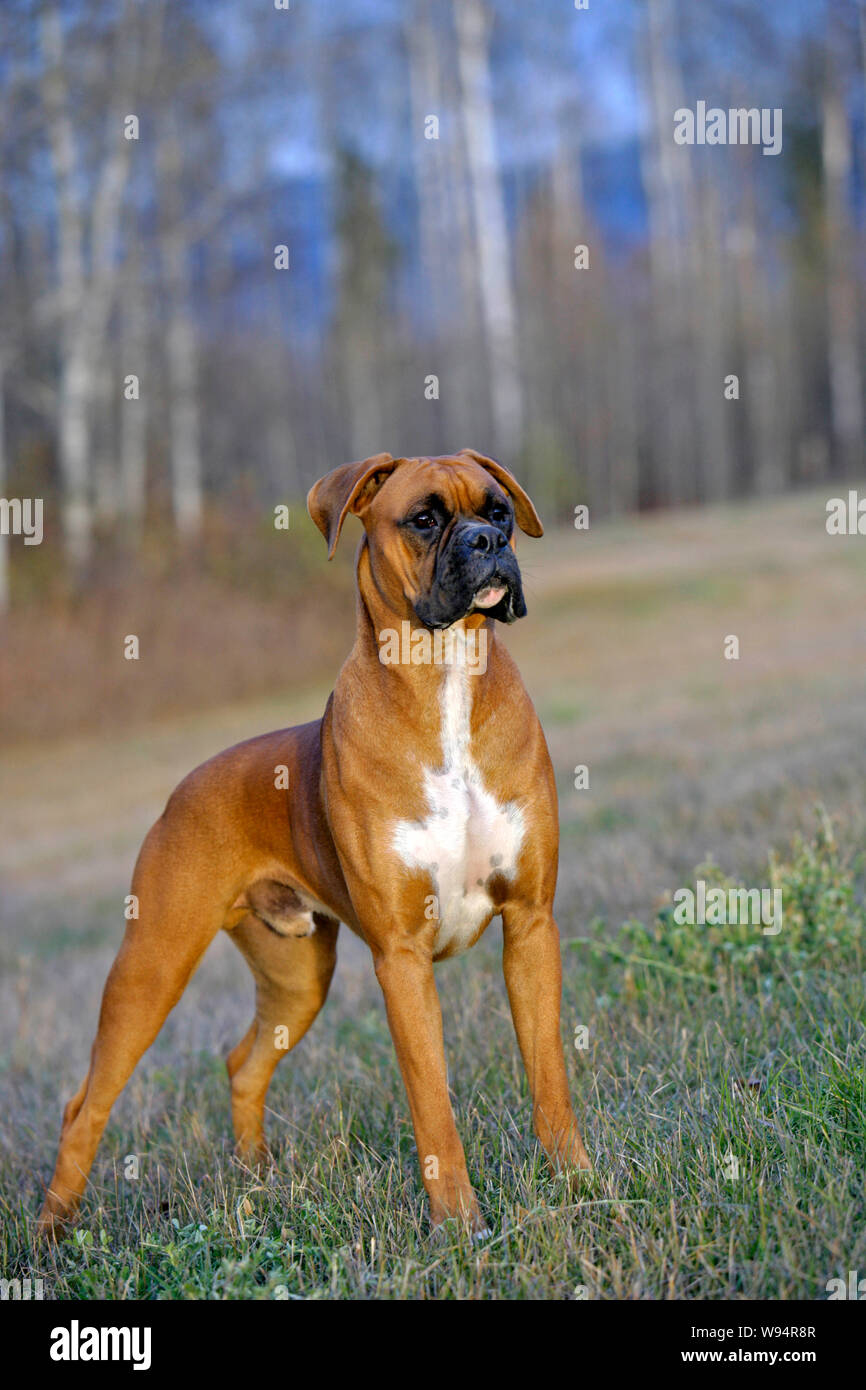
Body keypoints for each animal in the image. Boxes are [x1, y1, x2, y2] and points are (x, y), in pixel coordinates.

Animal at [37, 447, 592, 1239]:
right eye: (424, 520)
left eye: (500, 511)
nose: (489, 543)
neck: (447, 676)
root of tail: (182, 788)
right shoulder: (401, 959)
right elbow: (434, 1108)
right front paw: (459, 1226)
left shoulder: (530, 926)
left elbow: (549, 1078)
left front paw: (580, 1185)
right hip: (151, 969)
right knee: (84, 1105)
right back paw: (52, 1234)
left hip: (297, 978)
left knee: (242, 1064)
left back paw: (259, 1180)